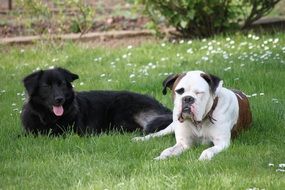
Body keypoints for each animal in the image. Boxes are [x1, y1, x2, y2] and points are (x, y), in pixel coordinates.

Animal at [21, 67, 172, 135]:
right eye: (46, 86)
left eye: (62, 84)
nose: (59, 99)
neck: (49, 118)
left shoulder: (73, 132)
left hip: (119, 111)